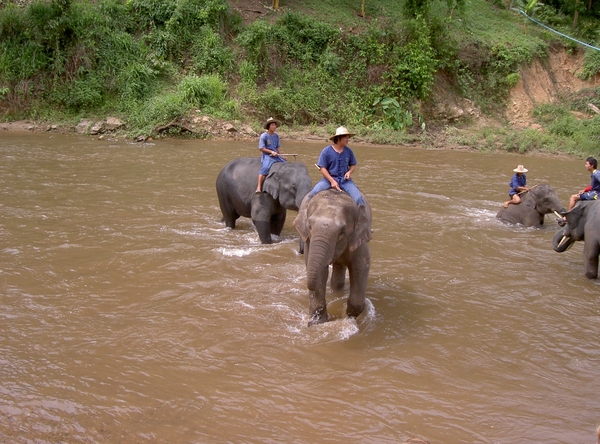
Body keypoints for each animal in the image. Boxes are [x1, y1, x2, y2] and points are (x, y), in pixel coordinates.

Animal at [294, 188, 372, 326]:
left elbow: (361, 266)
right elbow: (318, 271)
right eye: (309, 226)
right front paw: (316, 324)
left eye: (342, 231)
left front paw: (349, 318)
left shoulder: (358, 238)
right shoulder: (309, 240)